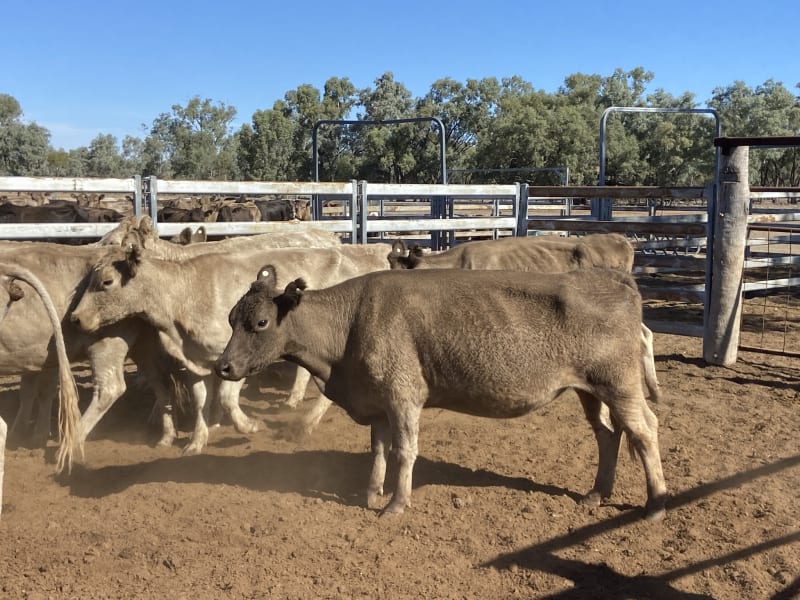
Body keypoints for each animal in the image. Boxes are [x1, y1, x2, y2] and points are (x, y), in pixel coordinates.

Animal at [214, 266, 668, 520]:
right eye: (231, 318)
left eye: (260, 322)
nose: (223, 367)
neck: (349, 326)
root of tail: (612, 277)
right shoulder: (378, 401)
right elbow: (379, 450)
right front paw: (372, 493)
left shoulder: (403, 396)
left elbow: (404, 451)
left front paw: (396, 504)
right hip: (589, 389)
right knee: (608, 434)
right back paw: (597, 493)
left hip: (620, 384)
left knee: (644, 430)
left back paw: (656, 504)